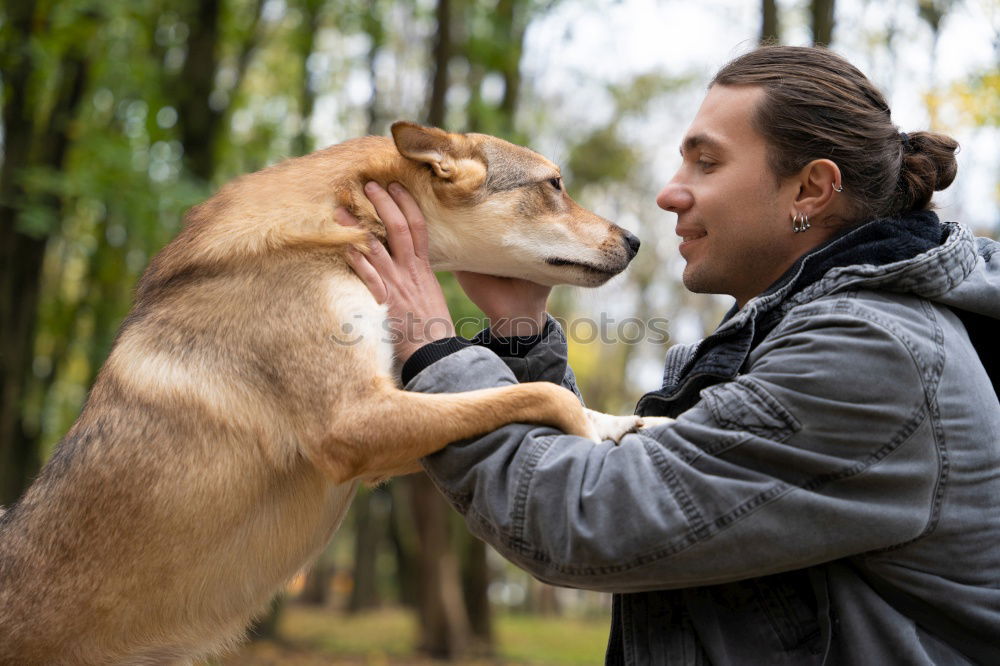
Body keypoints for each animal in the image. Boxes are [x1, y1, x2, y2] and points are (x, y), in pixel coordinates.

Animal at [0, 123, 656, 660]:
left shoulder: (390, 419)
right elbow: (548, 395)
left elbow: (536, 391)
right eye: (555, 184)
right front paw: (591, 436)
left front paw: (627, 426)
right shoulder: (354, 421)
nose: (636, 240)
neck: (347, 224)